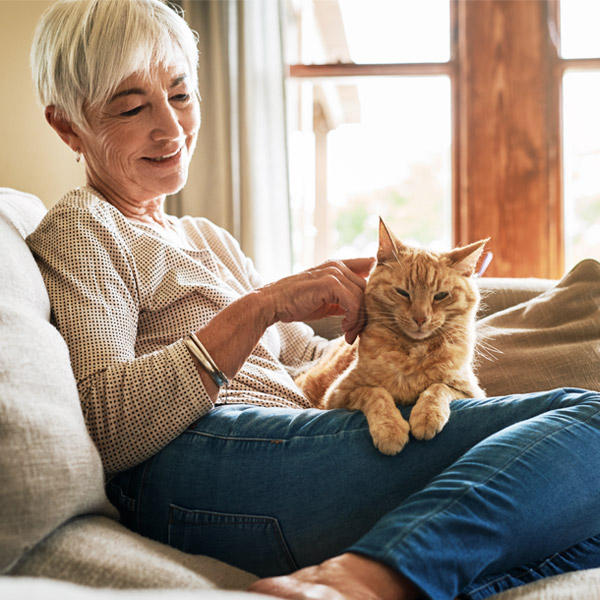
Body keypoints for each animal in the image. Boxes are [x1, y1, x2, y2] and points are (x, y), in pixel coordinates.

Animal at [296, 220, 488, 454]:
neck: (413, 352)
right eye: (402, 292)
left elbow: (438, 387)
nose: (420, 318)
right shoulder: (338, 395)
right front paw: (390, 429)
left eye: (441, 295)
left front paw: (427, 415)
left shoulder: (470, 391)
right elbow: (376, 393)